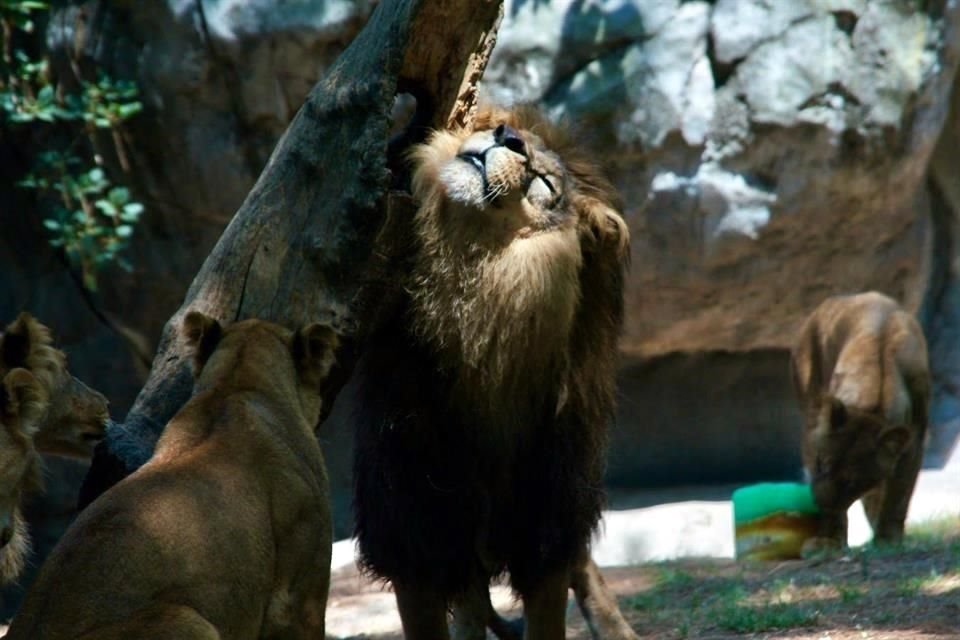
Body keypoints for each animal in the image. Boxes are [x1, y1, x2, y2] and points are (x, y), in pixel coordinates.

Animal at [788, 292, 928, 556]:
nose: (819, 503)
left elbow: (898, 495)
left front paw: (887, 539)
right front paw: (829, 540)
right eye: (821, 465)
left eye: (851, 481)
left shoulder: (914, 442)